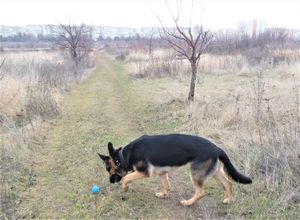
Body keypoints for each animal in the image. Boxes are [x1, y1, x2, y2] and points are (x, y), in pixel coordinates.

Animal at [98, 134, 251, 206]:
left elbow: (126, 177)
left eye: (108, 169)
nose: (110, 182)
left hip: (195, 174)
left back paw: (188, 203)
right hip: (215, 172)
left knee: (201, 192)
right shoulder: (162, 172)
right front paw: (164, 194)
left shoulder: (144, 172)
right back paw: (228, 200)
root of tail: (217, 148)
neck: (123, 156)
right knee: (229, 183)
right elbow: (166, 185)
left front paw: (124, 187)